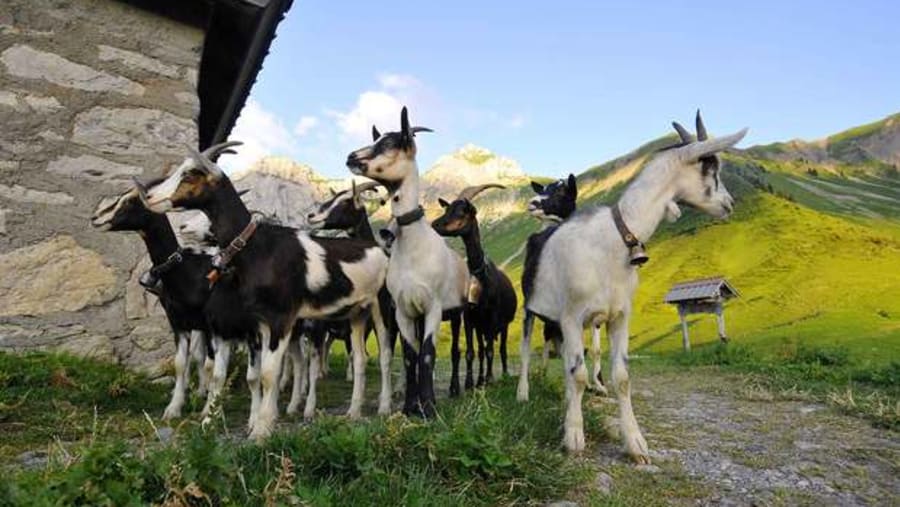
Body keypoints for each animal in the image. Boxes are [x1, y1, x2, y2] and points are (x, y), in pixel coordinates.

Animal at [140, 142, 393, 439]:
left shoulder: (280, 318)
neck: (257, 247)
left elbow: (270, 374)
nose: (149, 196)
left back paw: (384, 407)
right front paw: (260, 421)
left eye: (191, 174)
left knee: (385, 355)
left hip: (381, 306)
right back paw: (353, 411)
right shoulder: (259, 322)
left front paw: (261, 431)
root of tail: (378, 248)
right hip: (356, 313)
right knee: (361, 359)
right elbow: (260, 374)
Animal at [346, 107, 469, 415]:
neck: (414, 247)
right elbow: (411, 356)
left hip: (458, 313)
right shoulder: (403, 310)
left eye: (392, 143)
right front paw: (410, 407)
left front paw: (429, 409)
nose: (351, 157)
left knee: (454, 350)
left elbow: (427, 354)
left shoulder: (433, 306)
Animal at [432, 184, 518, 387]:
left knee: (501, 349)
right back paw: (480, 379)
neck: (479, 274)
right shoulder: (470, 317)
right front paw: (471, 383)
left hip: (504, 324)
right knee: (481, 349)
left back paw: (503, 374)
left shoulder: (492, 317)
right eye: (447, 209)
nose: (434, 225)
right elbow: (472, 352)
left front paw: (489, 379)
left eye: (461, 212)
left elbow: (491, 351)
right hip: (481, 325)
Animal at [518, 112, 746, 462]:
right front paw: (574, 437)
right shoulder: (572, 315)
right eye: (710, 168)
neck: (615, 239)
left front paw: (635, 443)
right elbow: (579, 375)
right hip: (531, 309)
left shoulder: (618, 317)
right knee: (527, 350)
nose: (729, 203)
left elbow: (620, 378)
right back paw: (523, 393)